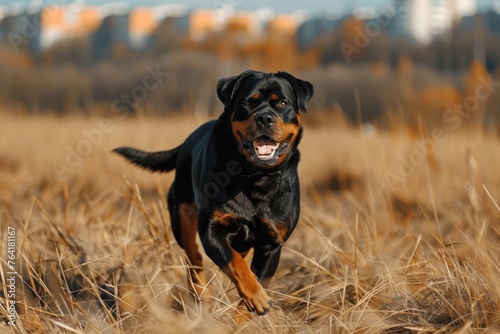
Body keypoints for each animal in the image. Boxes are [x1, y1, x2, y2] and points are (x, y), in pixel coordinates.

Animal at [115, 70, 314, 316]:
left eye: (283, 103)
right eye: (248, 102)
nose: (265, 118)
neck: (255, 176)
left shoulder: (272, 243)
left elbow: (254, 278)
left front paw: (245, 311)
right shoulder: (211, 229)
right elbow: (234, 262)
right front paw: (255, 295)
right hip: (181, 215)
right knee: (194, 256)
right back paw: (200, 294)